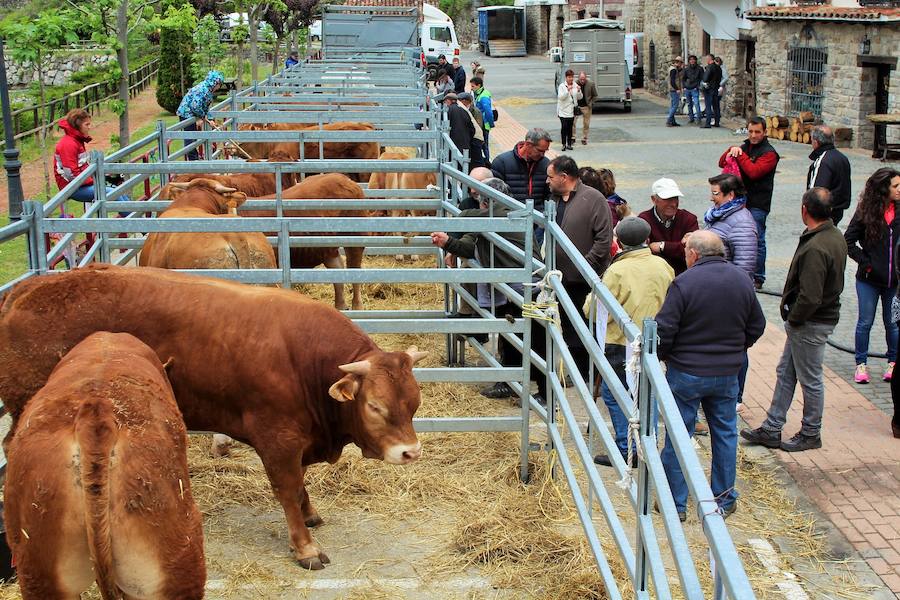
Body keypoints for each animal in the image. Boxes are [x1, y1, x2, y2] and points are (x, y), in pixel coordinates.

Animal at [0, 264, 428, 568]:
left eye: (414, 403)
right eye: (375, 406)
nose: (410, 452)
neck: (305, 360)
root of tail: (27, 290)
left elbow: (301, 487)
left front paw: (310, 515)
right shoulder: (278, 440)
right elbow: (288, 490)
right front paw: (305, 548)